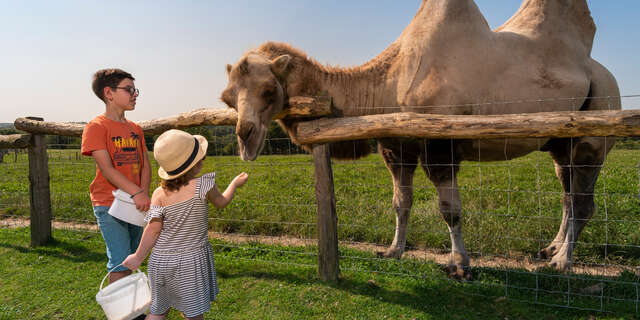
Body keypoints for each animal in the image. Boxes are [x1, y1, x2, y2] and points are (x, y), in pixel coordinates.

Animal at [220, 0, 620, 278]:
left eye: (268, 90)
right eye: (228, 98)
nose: (245, 138)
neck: (388, 84)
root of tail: (607, 77)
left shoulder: (439, 144)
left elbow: (450, 209)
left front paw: (460, 264)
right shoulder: (397, 146)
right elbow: (401, 202)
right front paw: (393, 251)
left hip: (595, 128)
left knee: (583, 202)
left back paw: (563, 262)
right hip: (560, 143)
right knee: (567, 192)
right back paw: (550, 249)